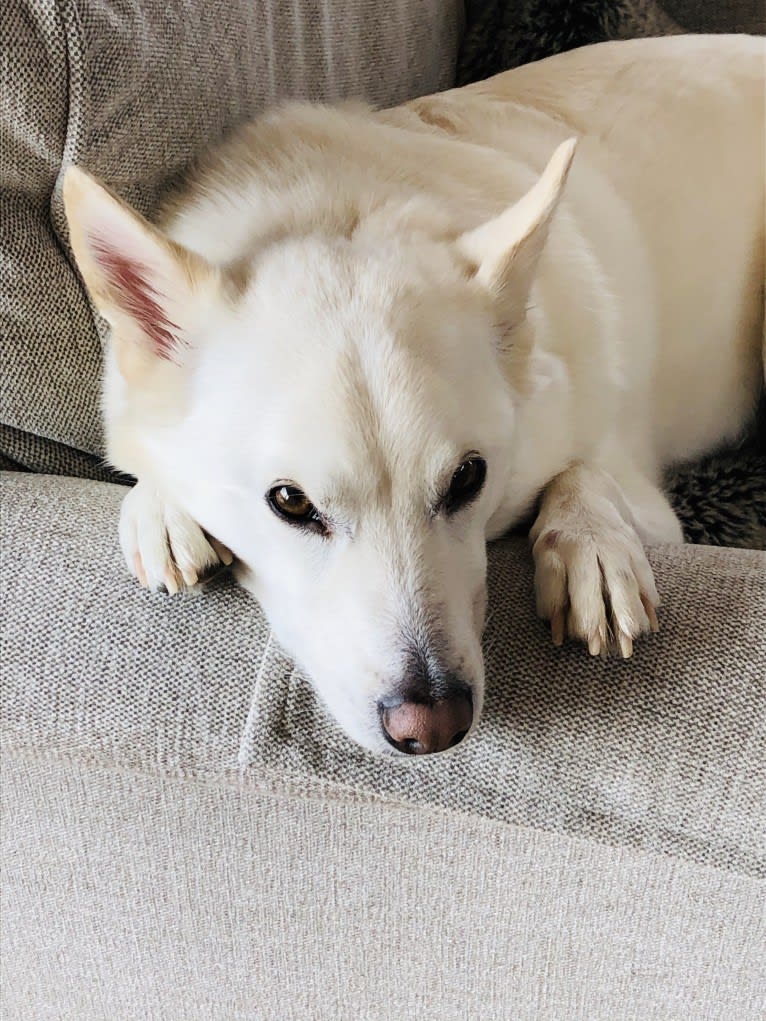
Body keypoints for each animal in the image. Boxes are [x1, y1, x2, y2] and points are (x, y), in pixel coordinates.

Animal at [65, 35, 766, 755]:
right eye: (290, 502)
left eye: (468, 478)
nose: (433, 727)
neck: (341, 202)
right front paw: (159, 508)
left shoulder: (649, 500)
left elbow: (584, 472)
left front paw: (591, 543)